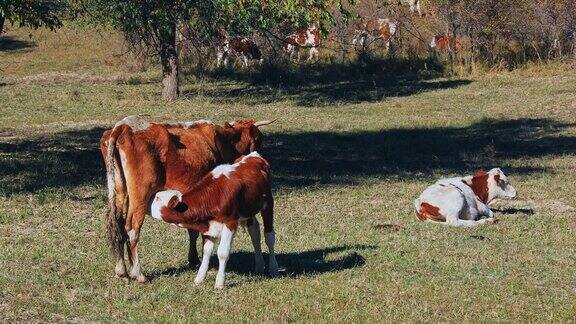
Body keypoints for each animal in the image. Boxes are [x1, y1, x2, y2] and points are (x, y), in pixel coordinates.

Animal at [150, 151, 278, 288]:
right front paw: (199, 278)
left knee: (269, 236)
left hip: (268, 203)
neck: (213, 195)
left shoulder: (230, 222)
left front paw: (219, 282)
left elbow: (222, 252)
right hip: (248, 210)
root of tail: (254, 156)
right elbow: (206, 251)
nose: (148, 200)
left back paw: (273, 268)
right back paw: (259, 266)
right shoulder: (209, 226)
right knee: (255, 233)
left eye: (158, 198)